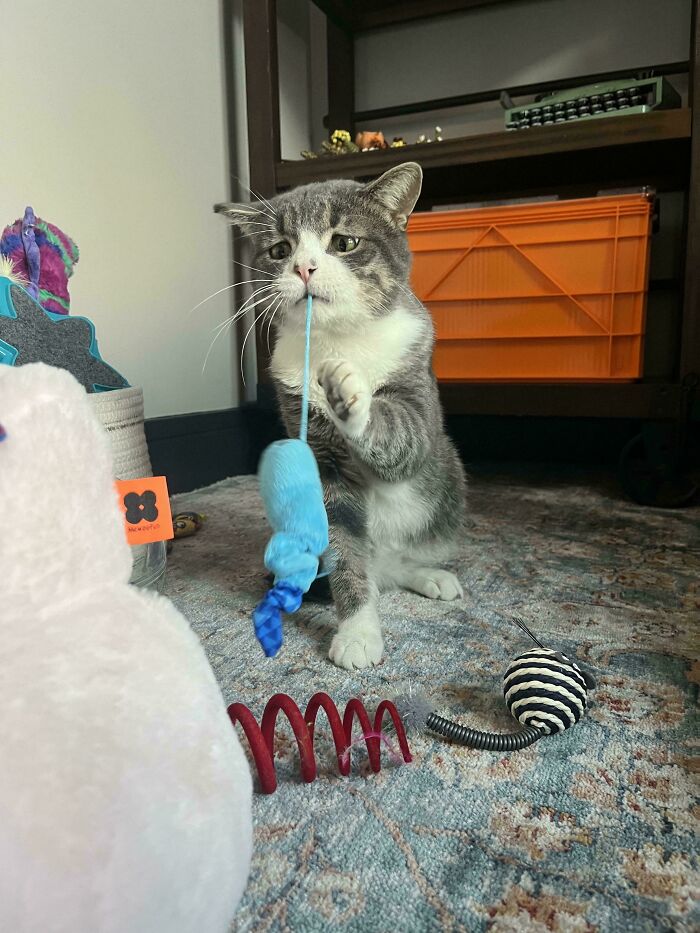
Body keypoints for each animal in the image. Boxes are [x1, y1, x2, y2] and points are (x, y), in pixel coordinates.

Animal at [216, 162, 462, 668]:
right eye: (280, 249)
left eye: (344, 242)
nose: (304, 267)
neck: (340, 338)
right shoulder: (317, 454)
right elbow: (344, 544)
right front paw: (358, 632)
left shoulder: (416, 380)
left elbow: (405, 437)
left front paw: (348, 392)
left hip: (447, 486)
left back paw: (429, 574)